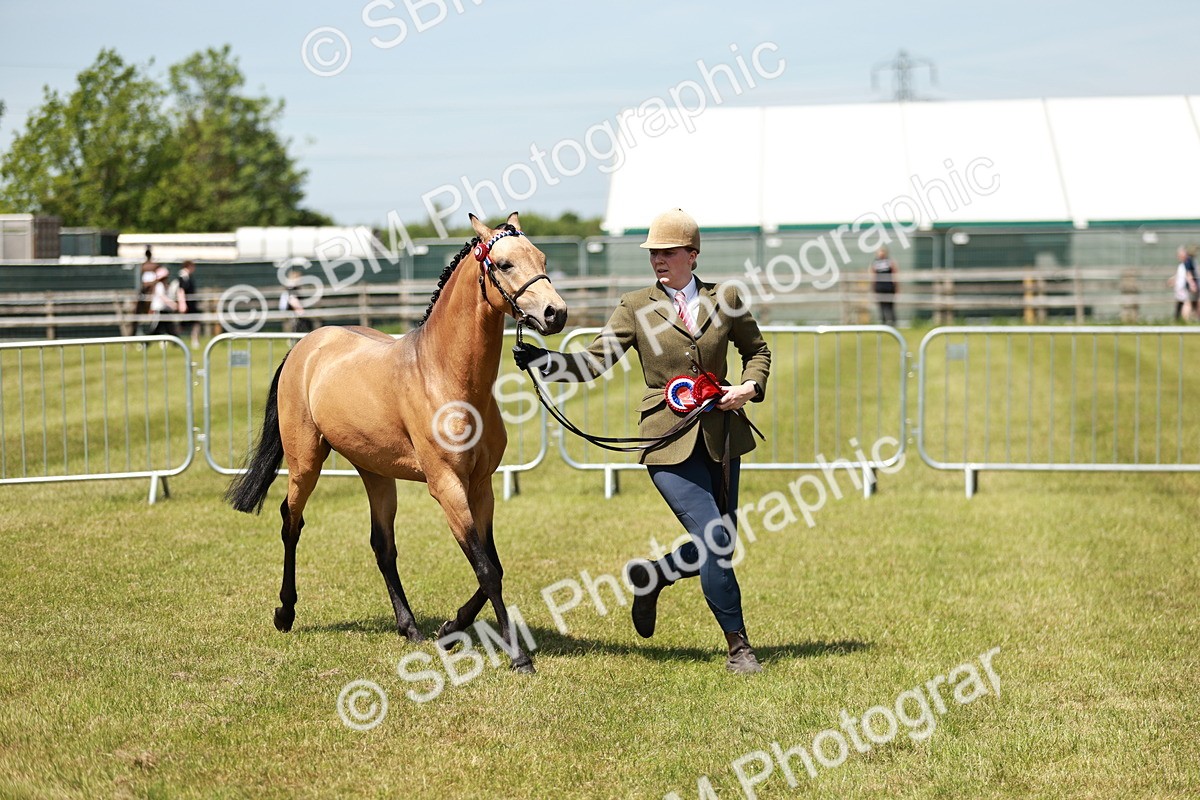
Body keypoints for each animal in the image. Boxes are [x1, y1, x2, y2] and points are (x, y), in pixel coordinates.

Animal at [224, 213, 567, 673]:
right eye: (505, 263)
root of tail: (307, 346)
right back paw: (285, 612)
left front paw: (450, 629)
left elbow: (492, 565)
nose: (555, 312)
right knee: (290, 522)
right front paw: (518, 657)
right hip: (305, 463)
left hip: (375, 472)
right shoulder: (448, 488)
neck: (444, 376)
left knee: (382, 546)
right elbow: (486, 569)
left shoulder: (481, 487)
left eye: (543, 258)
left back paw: (410, 627)